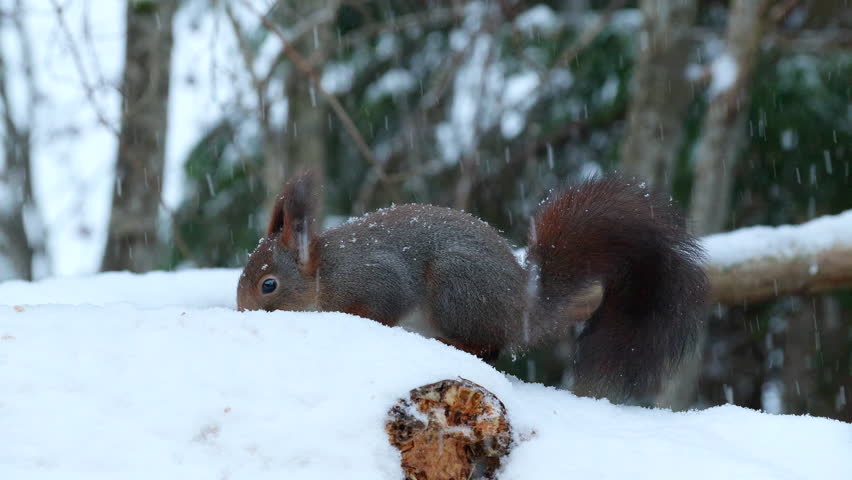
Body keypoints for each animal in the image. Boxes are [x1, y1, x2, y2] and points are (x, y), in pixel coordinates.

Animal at [237, 170, 708, 404]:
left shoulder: (376, 280)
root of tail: (521, 308)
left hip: (456, 287)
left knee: (485, 345)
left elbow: (381, 306)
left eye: (268, 285)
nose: (243, 314)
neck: (326, 273)